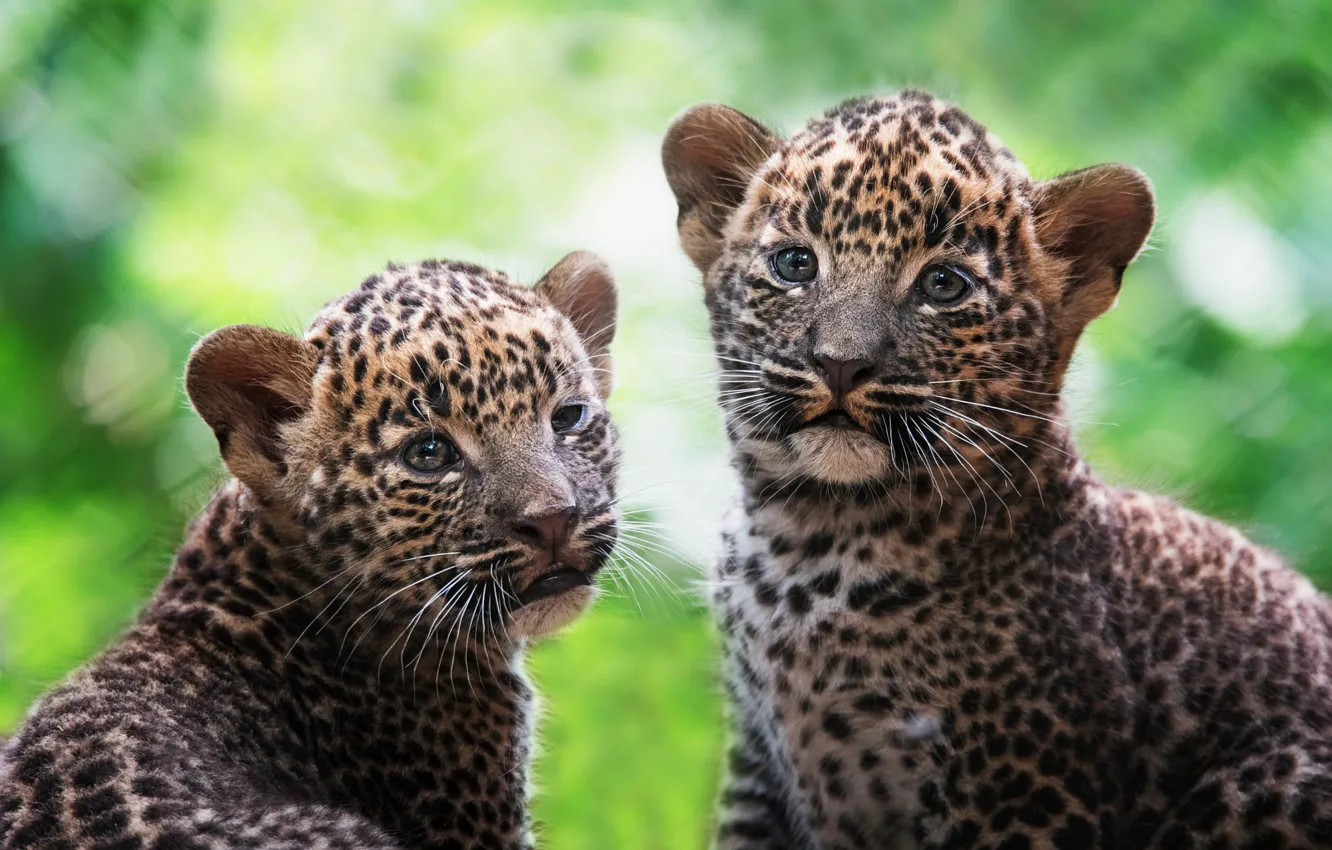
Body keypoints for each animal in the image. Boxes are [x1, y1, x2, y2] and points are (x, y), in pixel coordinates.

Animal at [662, 89, 1332, 849]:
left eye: (943, 284)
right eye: (795, 265)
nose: (840, 363)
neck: (809, 538)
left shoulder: (1019, 793)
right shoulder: (757, 769)